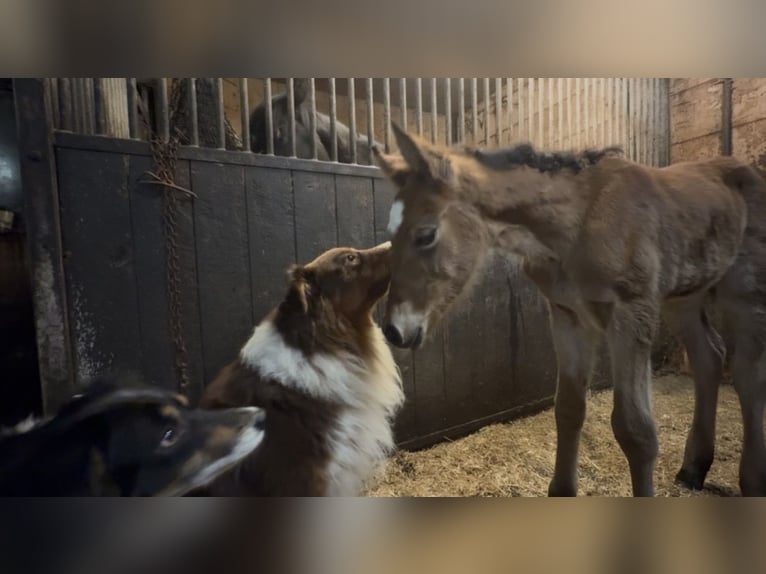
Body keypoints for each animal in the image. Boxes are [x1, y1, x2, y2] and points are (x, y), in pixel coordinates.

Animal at [373, 122, 766, 497]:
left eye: (426, 235)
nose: (394, 329)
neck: (577, 223)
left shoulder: (631, 312)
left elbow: (635, 430)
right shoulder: (567, 315)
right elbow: (568, 408)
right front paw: (561, 491)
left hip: (742, 292)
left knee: (747, 374)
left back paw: (751, 480)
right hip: (684, 297)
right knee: (709, 357)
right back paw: (694, 468)